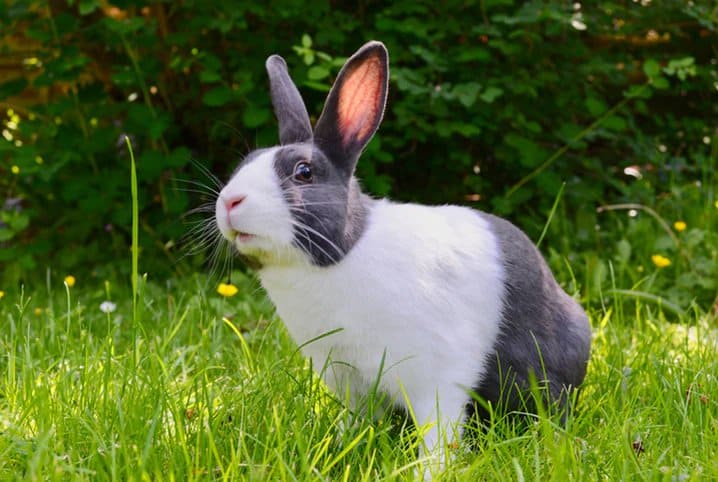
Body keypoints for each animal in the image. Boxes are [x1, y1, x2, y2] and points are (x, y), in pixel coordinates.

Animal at [214, 42, 592, 466]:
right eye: (245, 163)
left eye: (304, 173)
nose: (229, 202)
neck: (342, 255)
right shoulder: (349, 378)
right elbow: (357, 420)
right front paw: (342, 447)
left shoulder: (435, 376)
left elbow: (439, 430)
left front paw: (430, 469)